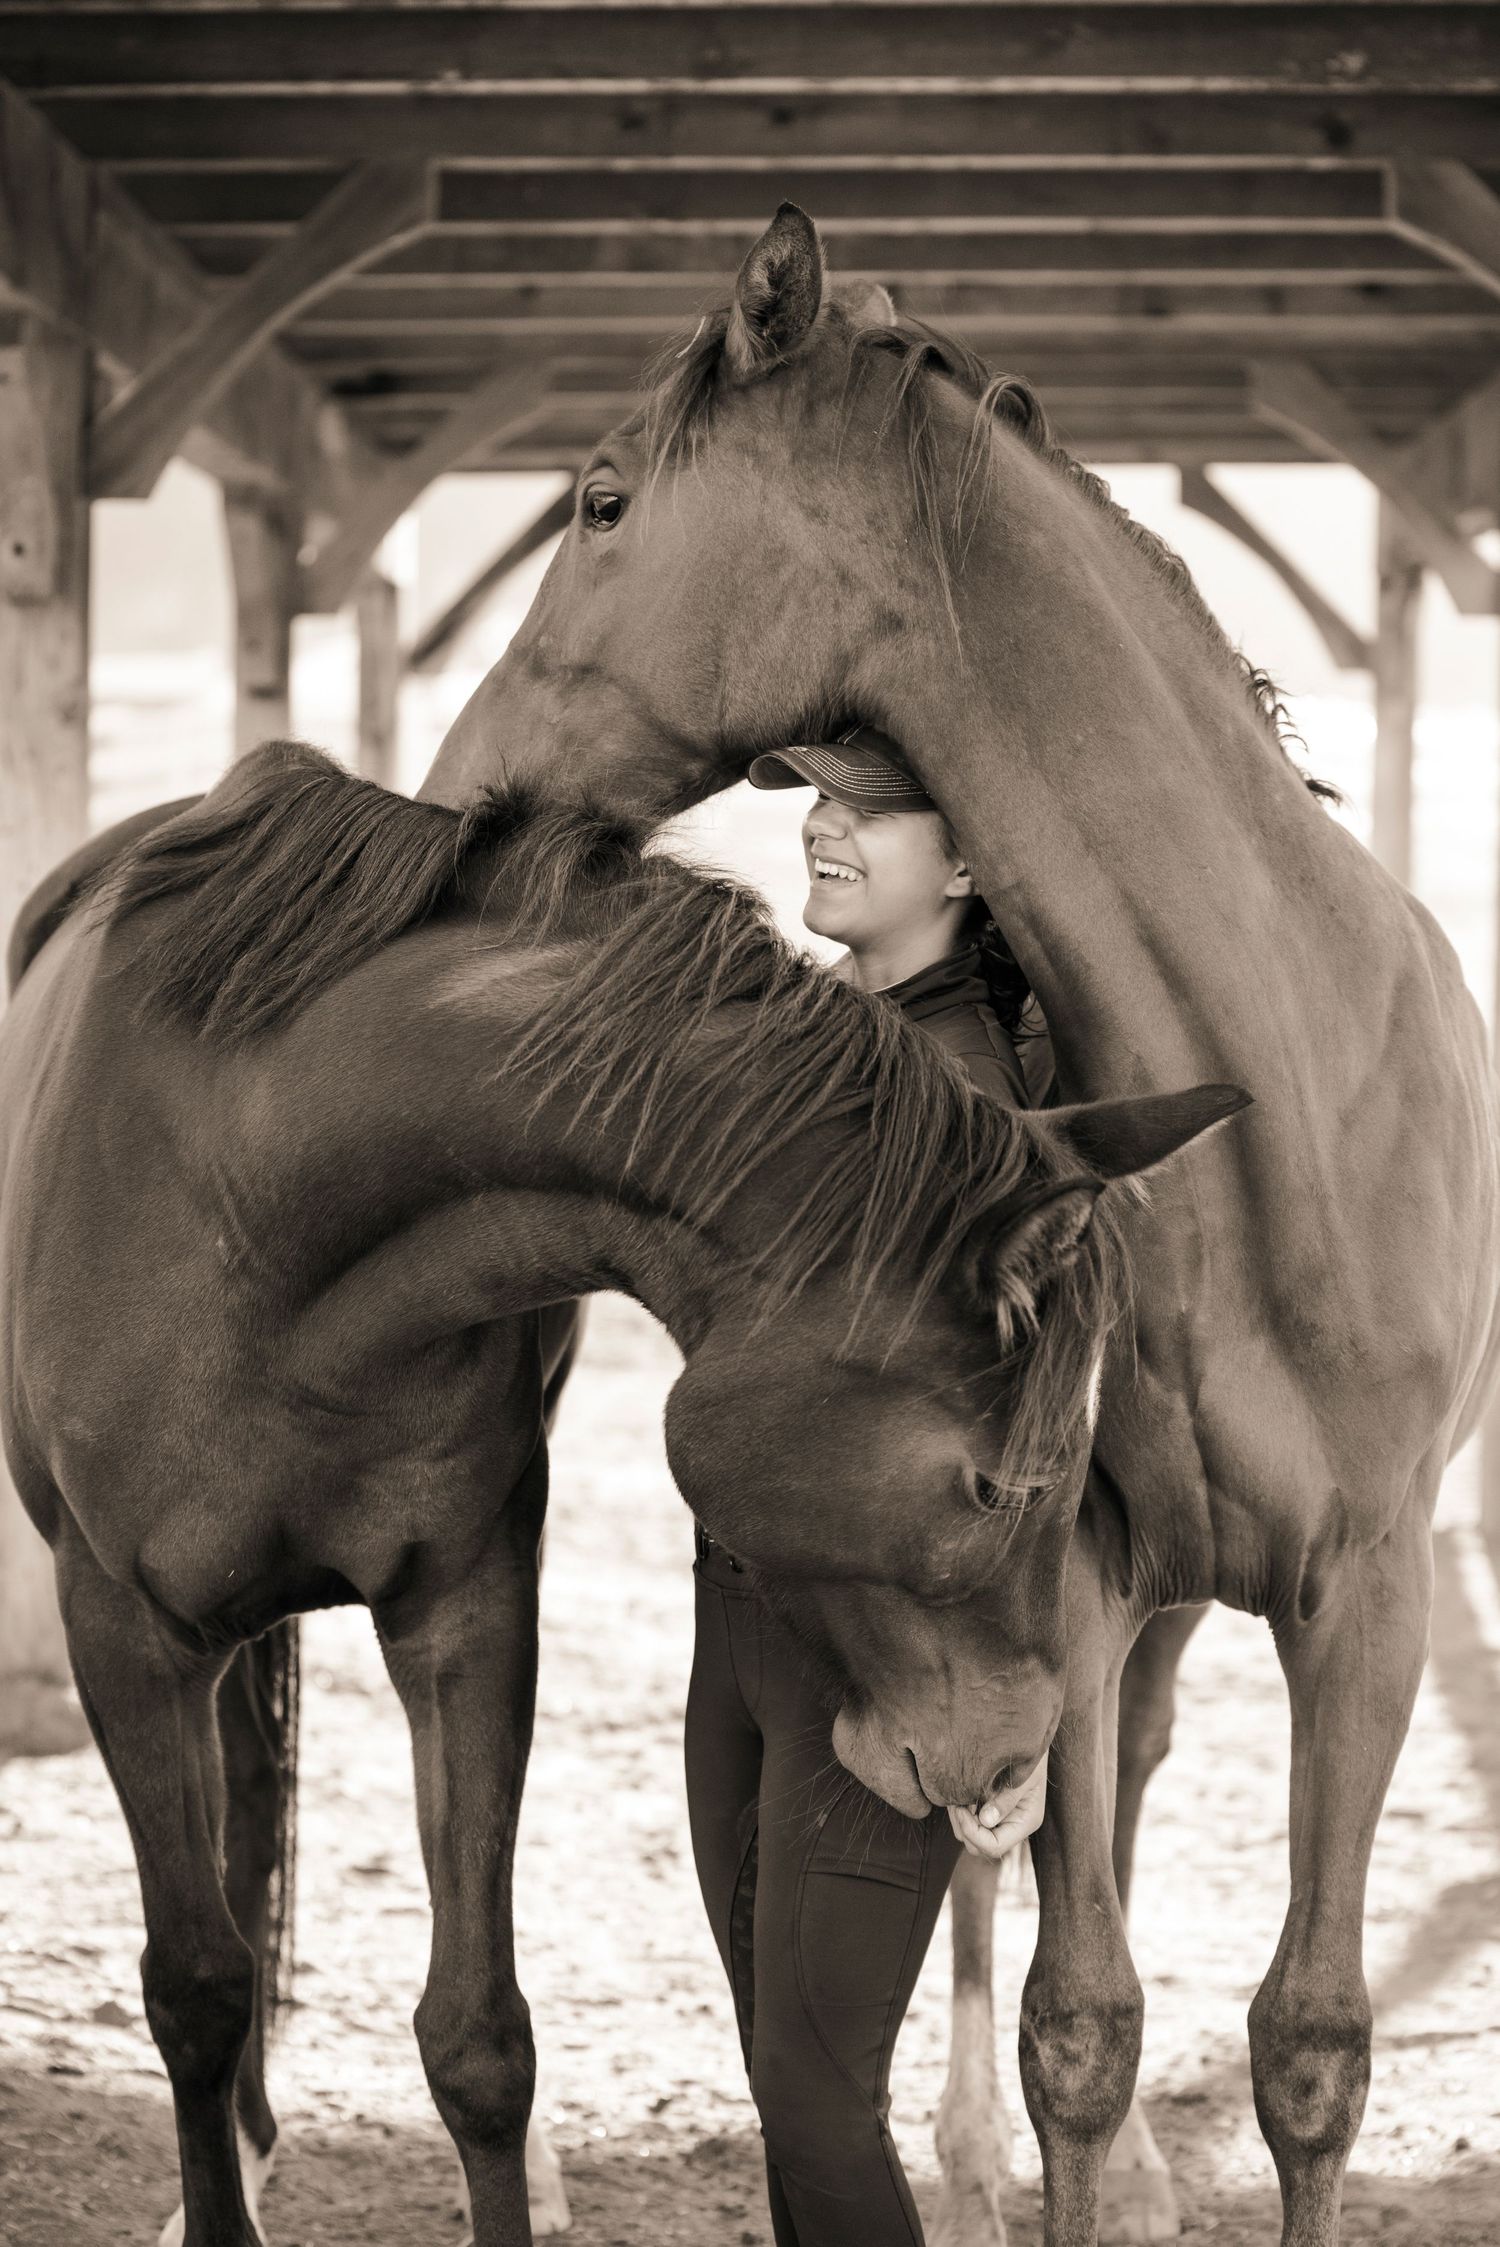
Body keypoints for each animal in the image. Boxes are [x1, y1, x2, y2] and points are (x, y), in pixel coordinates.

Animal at [0, 738, 1237, 2247]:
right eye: (1004, 1482)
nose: (1014, 1764)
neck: (258, 1201)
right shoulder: (124, 1633)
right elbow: (194, 1987)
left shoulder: (466, 1609)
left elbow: (478, 2036)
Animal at [416, 205, 1500, 2247]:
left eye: (601, 499)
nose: (455, 793)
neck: (1278, 1095)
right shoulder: (1055, 1570)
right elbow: (1079, 2010)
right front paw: (1040, 2138)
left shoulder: (1371, 1599)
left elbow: (1313, 2046)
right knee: (1021, 1857)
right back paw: (986, 2148)